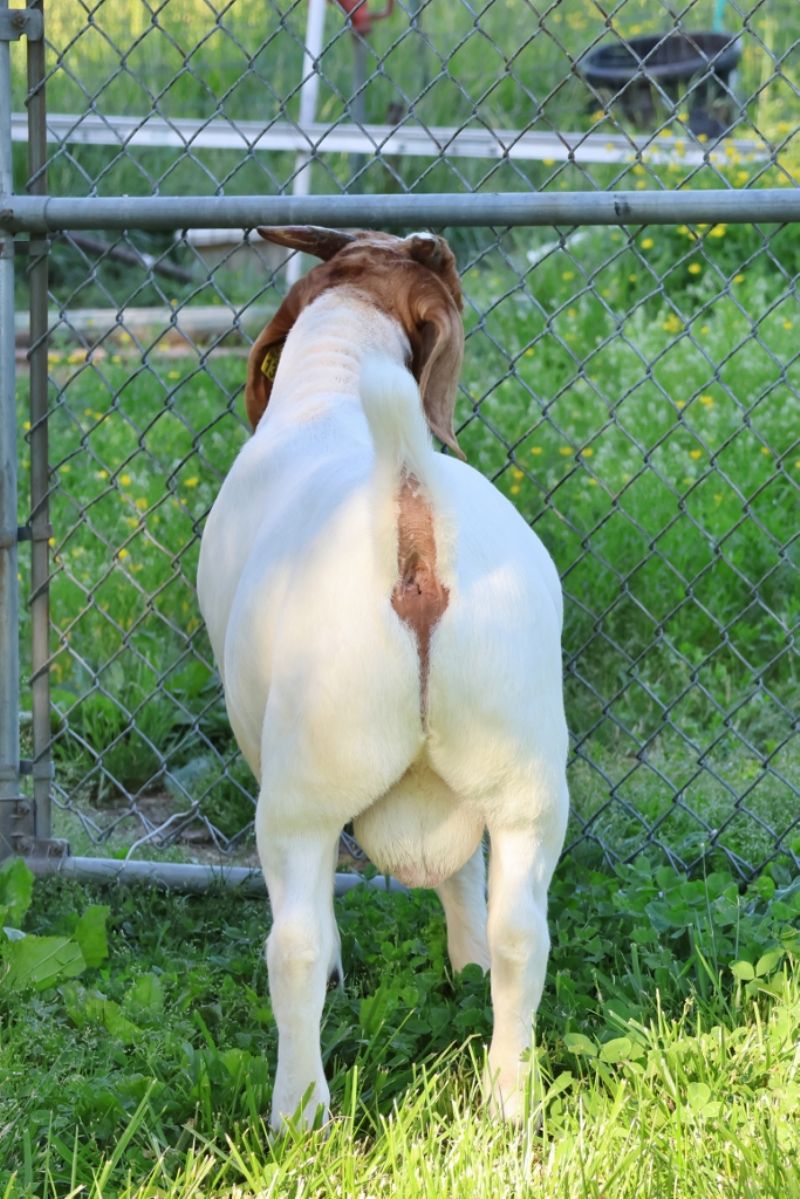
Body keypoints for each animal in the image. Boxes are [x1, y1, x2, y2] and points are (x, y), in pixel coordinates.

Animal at [197, 227, 569, 1130]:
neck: (333, 379)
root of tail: (409, 501)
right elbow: (463, 878)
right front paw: (464, 968)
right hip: (528, 777)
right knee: (522, 931)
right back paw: (508, 1096)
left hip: (302, 783)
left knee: (292, 945)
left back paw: (299, 1111)